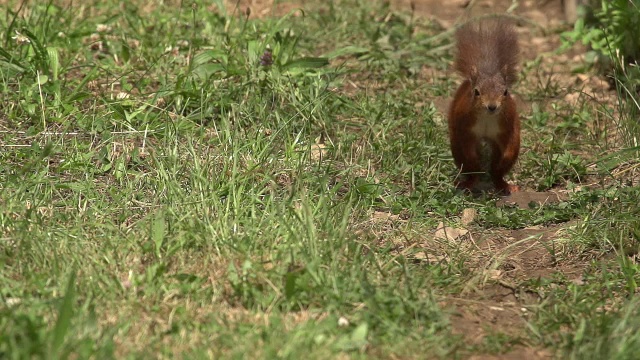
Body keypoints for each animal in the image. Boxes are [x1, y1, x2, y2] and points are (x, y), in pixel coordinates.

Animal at [448, 17, 524, 194]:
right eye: (476, 92)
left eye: (505, 92)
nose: (492, 106)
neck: (487, 119)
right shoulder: (465, 128)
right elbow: (468, 148)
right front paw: (476, 160)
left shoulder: (506, 127)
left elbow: (508, 148)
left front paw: (503, 160)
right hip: (456, 146)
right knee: (469, 169)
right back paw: (469, 182)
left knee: (497, 173)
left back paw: (503, 184)